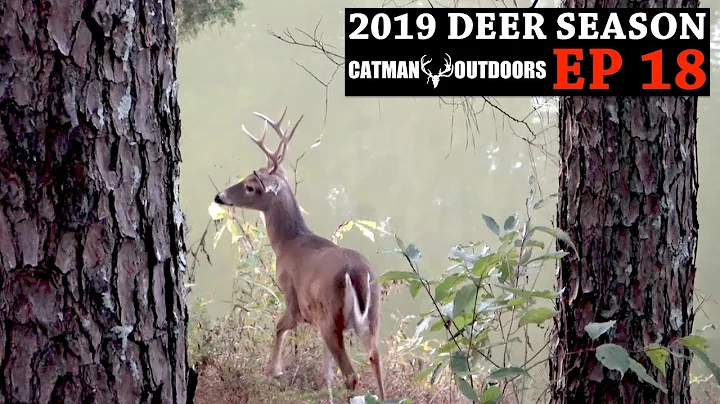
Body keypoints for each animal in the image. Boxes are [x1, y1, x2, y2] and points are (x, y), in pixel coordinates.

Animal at [213, 108, 386, 401]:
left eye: (250, 186)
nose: (219, 196)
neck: (289, 243)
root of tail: (358, 273)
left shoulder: (293, 299)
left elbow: (278, 326)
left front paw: (274, 371)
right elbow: (326, 368)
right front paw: (323, 389)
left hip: (331, 317)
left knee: (352, 375)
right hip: (372, 316)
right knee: (375, 360)